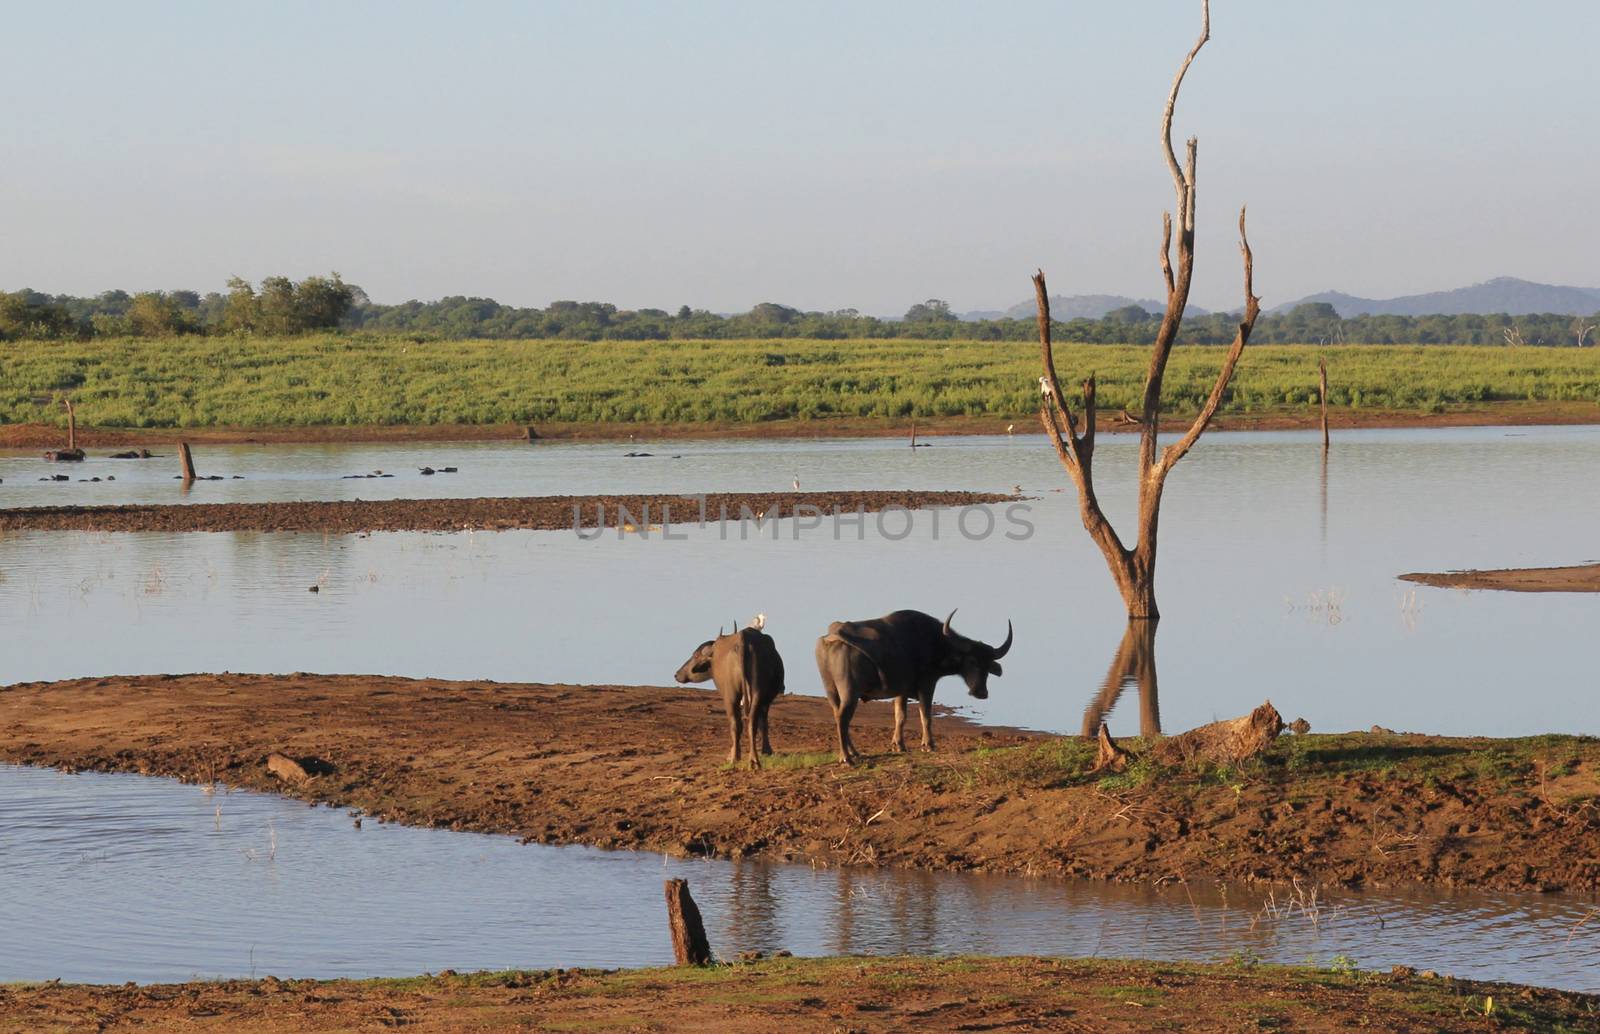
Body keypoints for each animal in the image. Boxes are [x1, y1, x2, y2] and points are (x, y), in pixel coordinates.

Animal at [672, 624, 784, 768]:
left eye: (695, 655)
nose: (677, 674)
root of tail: (743, 641)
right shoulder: (765, 700)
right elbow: (762, 723)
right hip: (755, 692)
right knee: (750, 721)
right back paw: (753, 760)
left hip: (731, 695)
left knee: (736, 723)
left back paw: (735, 758)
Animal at [812, 611, 1011, 765]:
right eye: (971, 661)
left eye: (988, 665)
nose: (980, 692)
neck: (936, 643)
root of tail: (832, 636)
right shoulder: (927, 684)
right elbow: (926, 716)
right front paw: (929, 745)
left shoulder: (901, 691)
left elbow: (900, 716)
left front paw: (899, 745)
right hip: (850, 693)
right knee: (843, 718)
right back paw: (846, 758)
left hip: (831, 692)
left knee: (837, 715)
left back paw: (854, 753)